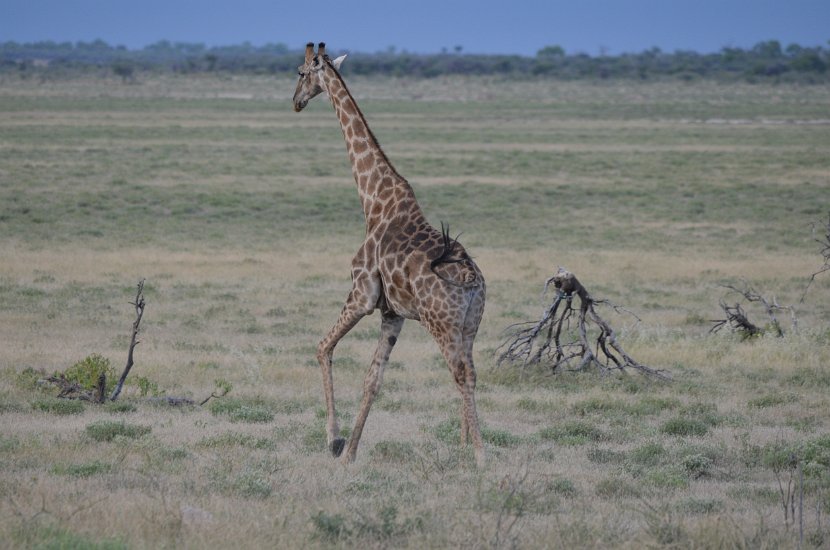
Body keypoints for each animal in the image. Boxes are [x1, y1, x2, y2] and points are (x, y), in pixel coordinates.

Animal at [292, 42, 487, 466]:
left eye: (300, 72)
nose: (295, 101)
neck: (374, 200)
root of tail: (471, 280)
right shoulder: (392, 313)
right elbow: (373, 380)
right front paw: (350, 452)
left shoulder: (361, 294)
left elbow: (322, 348)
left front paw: (333, 440)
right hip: (469, 325)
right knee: (471, 372)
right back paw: (465, 446)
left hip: (441, 324)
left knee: (461, 374)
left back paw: (479, 454)